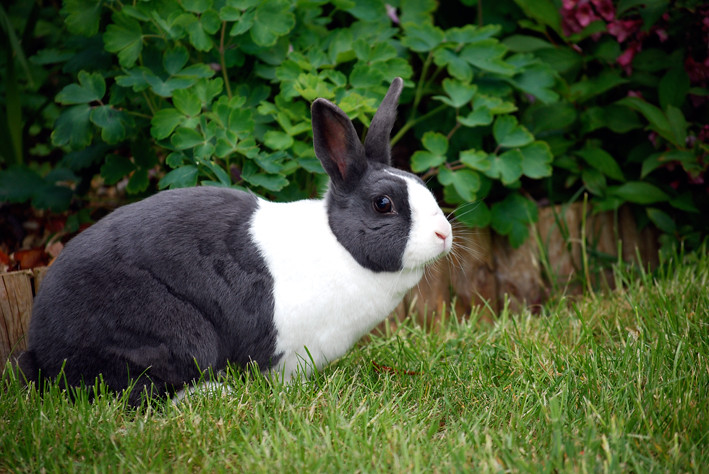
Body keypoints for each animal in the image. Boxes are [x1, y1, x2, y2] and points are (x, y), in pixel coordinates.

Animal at [18, 77, 453, 405]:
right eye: (383, 204)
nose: (444, 235)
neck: (341, 247)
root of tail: (42, 348)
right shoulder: (287, 351)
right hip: (172, 334)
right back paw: (214, 393)